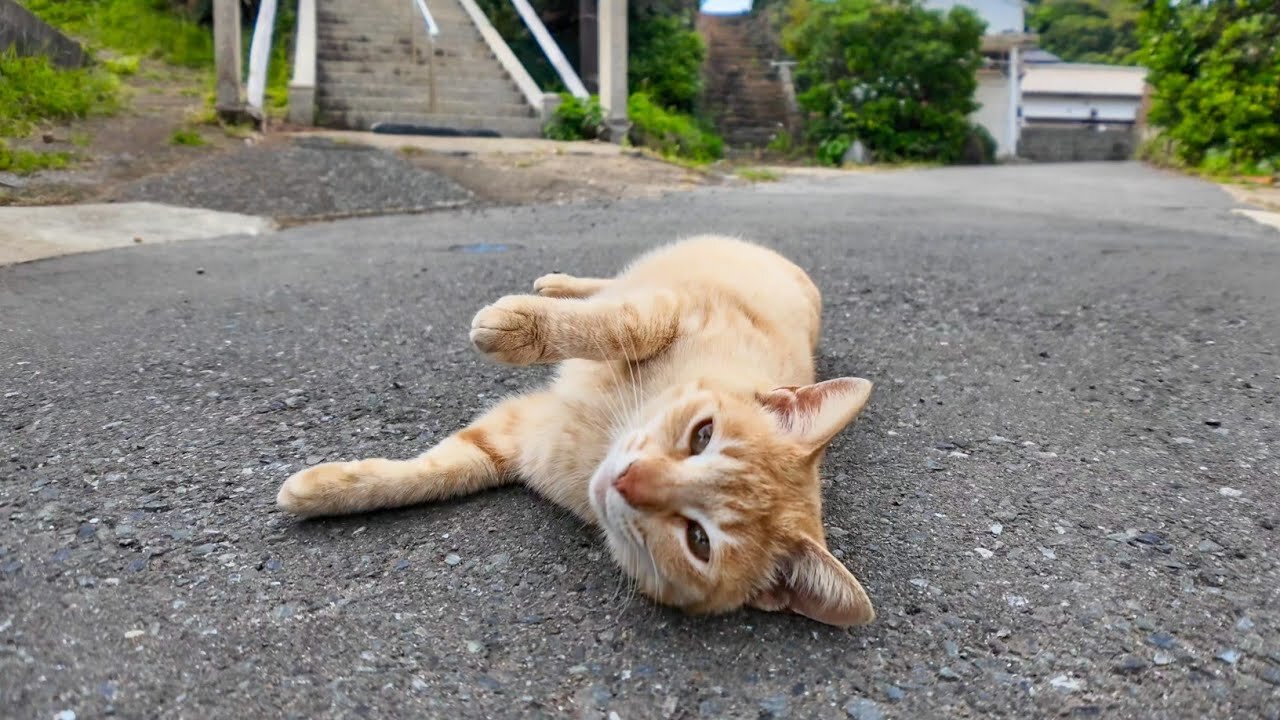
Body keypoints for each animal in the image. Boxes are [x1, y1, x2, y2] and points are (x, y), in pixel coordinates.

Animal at [277, 234, 880, 622]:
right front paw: (520, 326)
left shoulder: (515, 436)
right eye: (703, 435)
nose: (627, 479)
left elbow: (439, 472)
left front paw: (325, 491)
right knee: (608, 286)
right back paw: (553, 286)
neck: (605, 434)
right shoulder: (673, 307)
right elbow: (621, 326)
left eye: (699, 540)